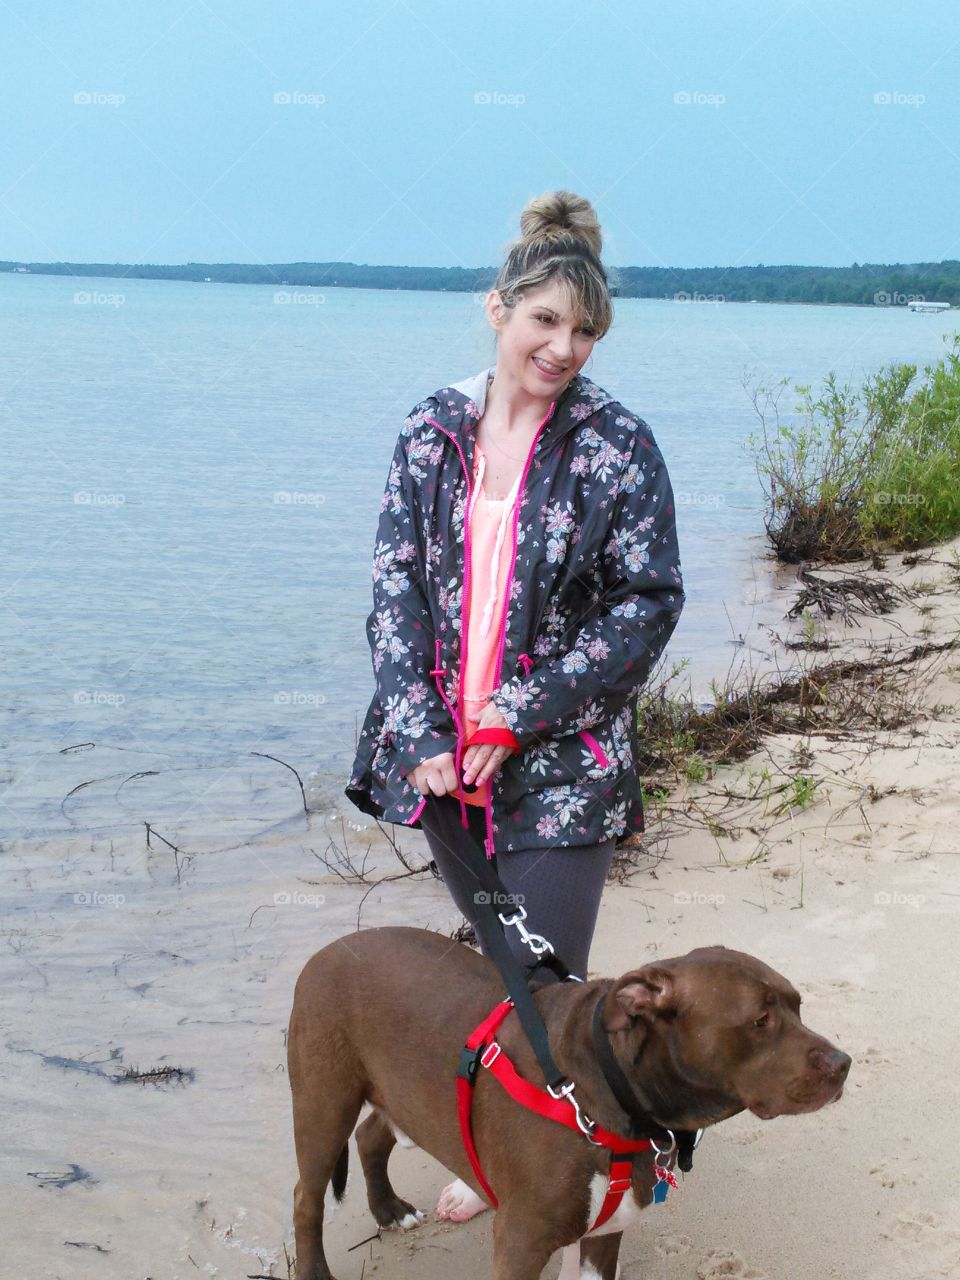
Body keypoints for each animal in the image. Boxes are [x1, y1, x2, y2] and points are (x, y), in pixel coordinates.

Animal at [285, 931, 849, 1280]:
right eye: (760, 1021)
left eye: (798, 1006)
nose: (843, 1063)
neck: (602, 1093)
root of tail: (327, 949)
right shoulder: (520, 1243)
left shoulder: (605, 1234)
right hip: (323, 1102)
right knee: (307, 1196)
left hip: (398, 1089)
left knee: (370, 1135)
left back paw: (388, 1209)